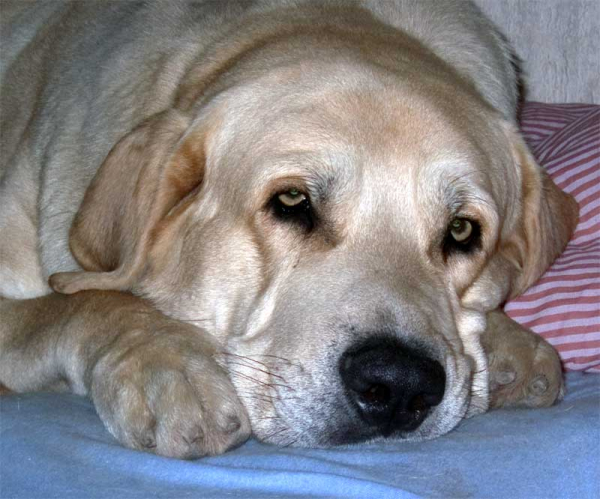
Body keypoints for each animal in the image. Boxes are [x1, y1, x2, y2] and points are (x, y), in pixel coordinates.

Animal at [1, 0, 580, 460]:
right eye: (292, 201)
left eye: (461, 231)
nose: (398, 385)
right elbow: (84, 301)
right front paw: (166, 362)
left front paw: (511, 346)